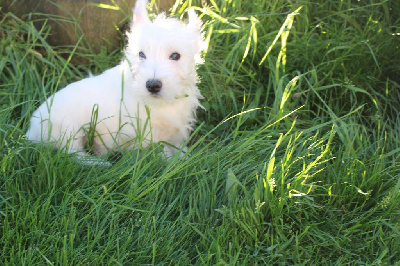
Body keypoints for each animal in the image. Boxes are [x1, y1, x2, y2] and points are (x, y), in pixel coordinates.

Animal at [25, 0, 203, 165]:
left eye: (175, 56)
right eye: (141, 54)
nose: (152, 85)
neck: (159, 104)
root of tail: (31, 132)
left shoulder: (177, 129)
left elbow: (177, 146)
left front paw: (184, 158)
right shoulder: (145, 133)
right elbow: (159, 150)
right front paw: (168, 161)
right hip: (69, 128)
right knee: (71, 152)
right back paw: (99, 163)